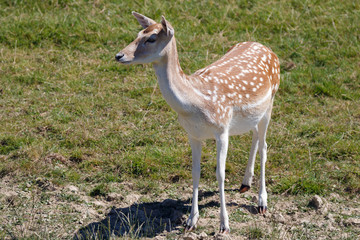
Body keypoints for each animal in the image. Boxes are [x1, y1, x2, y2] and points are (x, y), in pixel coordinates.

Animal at [115, 12, 282, 233]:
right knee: (255, 136)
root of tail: (269, 49)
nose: (119, 55)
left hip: (270, 103)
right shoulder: (193, 134)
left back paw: (262, 202)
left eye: (151, 38)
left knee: (264, 146)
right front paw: (191, 221)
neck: (195, 104)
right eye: (137, 34)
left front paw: (224, 225)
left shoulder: (222, 129)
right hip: (255, 113)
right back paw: (245, 183)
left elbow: (220, 174)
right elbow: (195, 173)